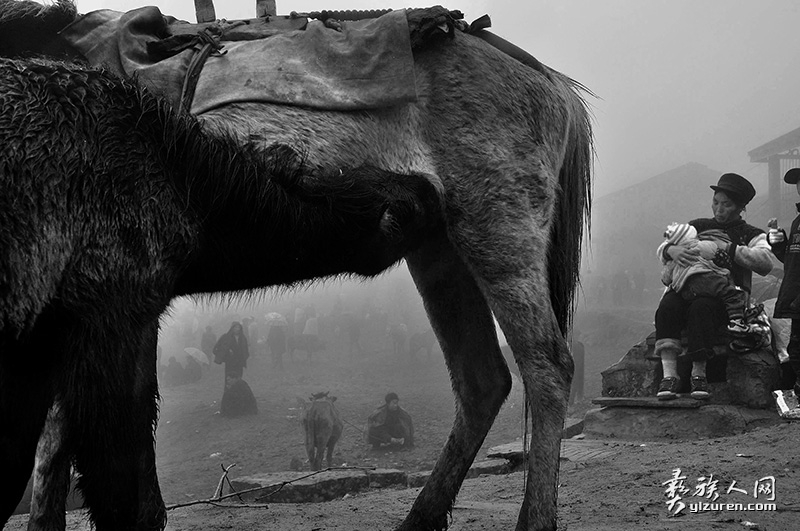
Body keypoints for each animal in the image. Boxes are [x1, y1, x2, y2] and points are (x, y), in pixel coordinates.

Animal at [0, 2, 588, 528]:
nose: (405, 195)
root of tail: (551, 82)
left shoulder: (112, 303)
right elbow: (61, 453)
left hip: (499, 226)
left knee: (547, 367)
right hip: (439, 248)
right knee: (481, 381)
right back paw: (421, 518)